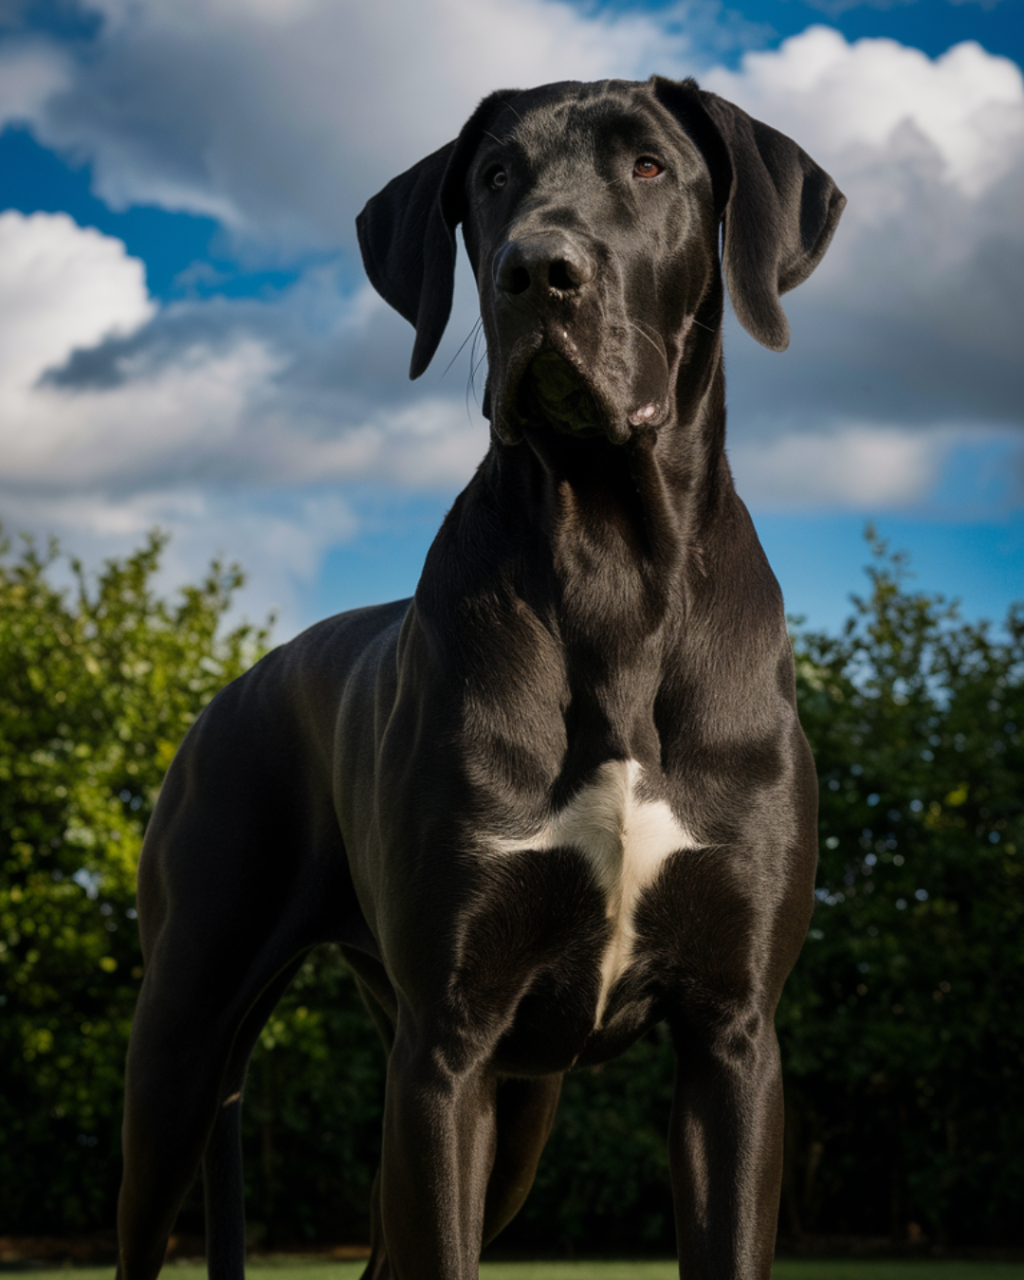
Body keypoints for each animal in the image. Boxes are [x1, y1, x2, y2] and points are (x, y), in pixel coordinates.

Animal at [115, 77, 844, 1280]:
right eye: (494, 177)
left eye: (650, 166)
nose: (537, 269)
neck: (610, 560)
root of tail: (232, 688)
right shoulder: (447, 1045)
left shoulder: (732, 1038)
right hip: (185, 1034)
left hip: (512, 1103)